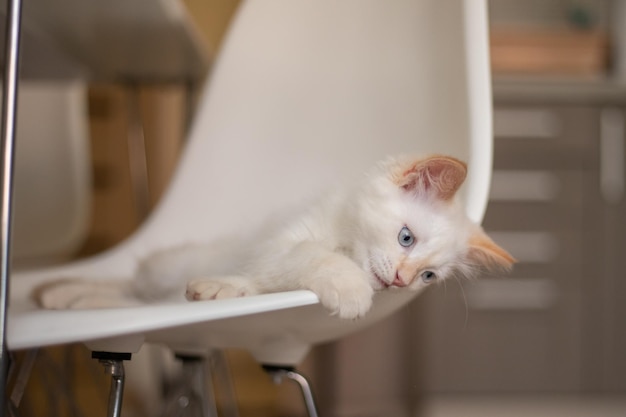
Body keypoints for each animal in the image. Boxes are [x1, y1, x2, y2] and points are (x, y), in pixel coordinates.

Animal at [33, 154, 512, 320]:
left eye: (428, 277)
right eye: (406, 238)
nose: (400, 280)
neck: (344, 238)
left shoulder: (265, 260)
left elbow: (254, 282)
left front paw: (221, 288)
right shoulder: (279, 243)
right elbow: (312, 255)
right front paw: (350, 288)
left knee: (132, 299)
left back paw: (66, 297)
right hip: (163, 269)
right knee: (129, 288)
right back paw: (60, 291)